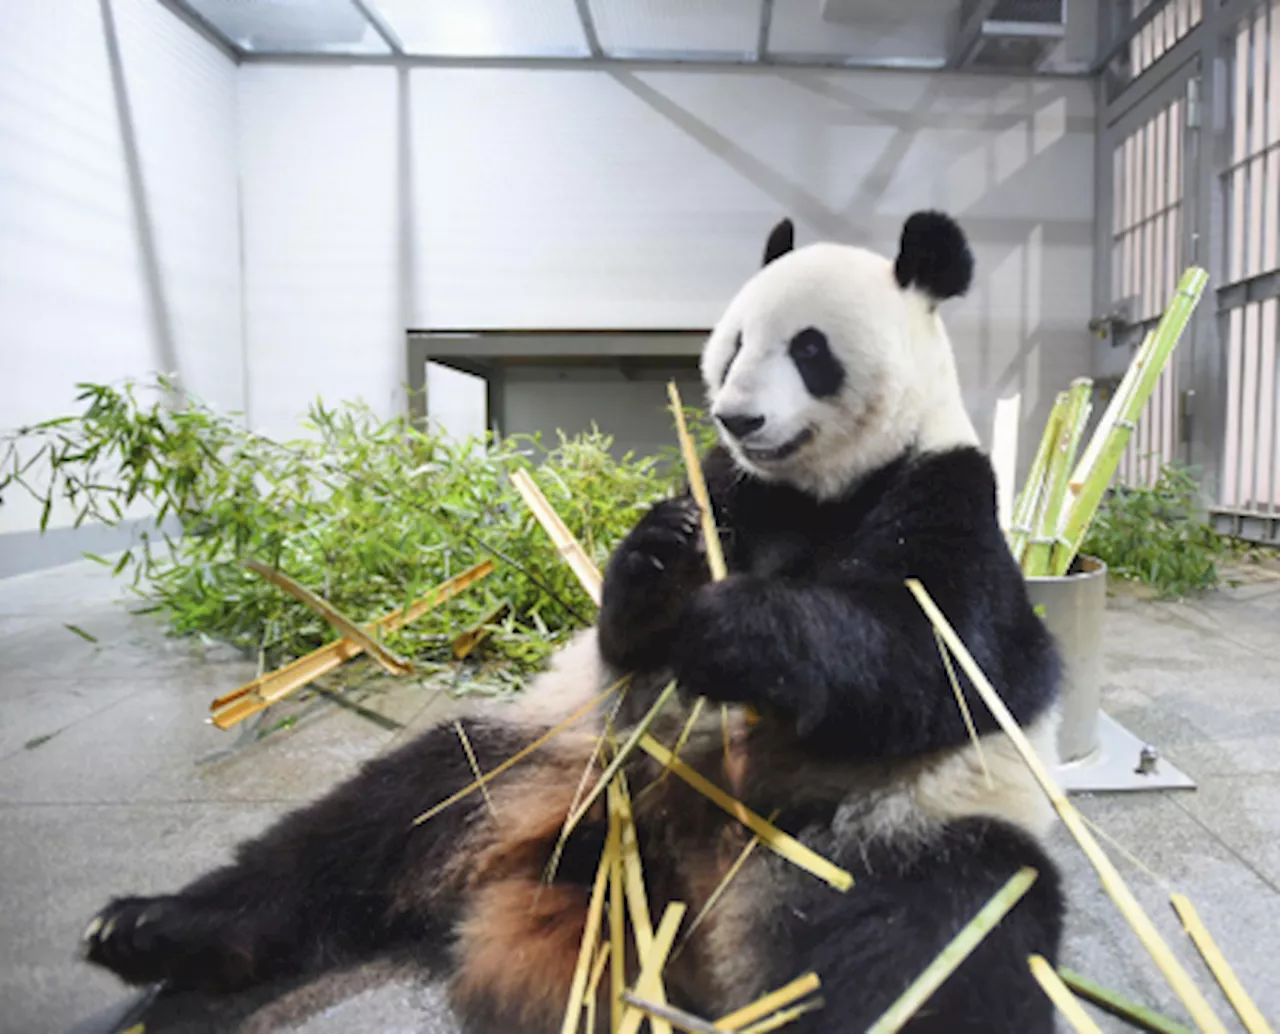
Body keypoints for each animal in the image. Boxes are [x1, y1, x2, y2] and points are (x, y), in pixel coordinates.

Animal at [80, 212, 1059, 1034]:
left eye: (812, 349)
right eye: (736, 343)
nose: (739, 415)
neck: (812, 493)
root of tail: (663, 878)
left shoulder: (943, 491)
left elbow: (950, 660)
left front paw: (741, 631)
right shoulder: (731, 490)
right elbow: (624, 626)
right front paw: (660, 558)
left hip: (880, 833)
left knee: (937, 944)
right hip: (548, 758)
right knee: (368, 820)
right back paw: (154, 931)